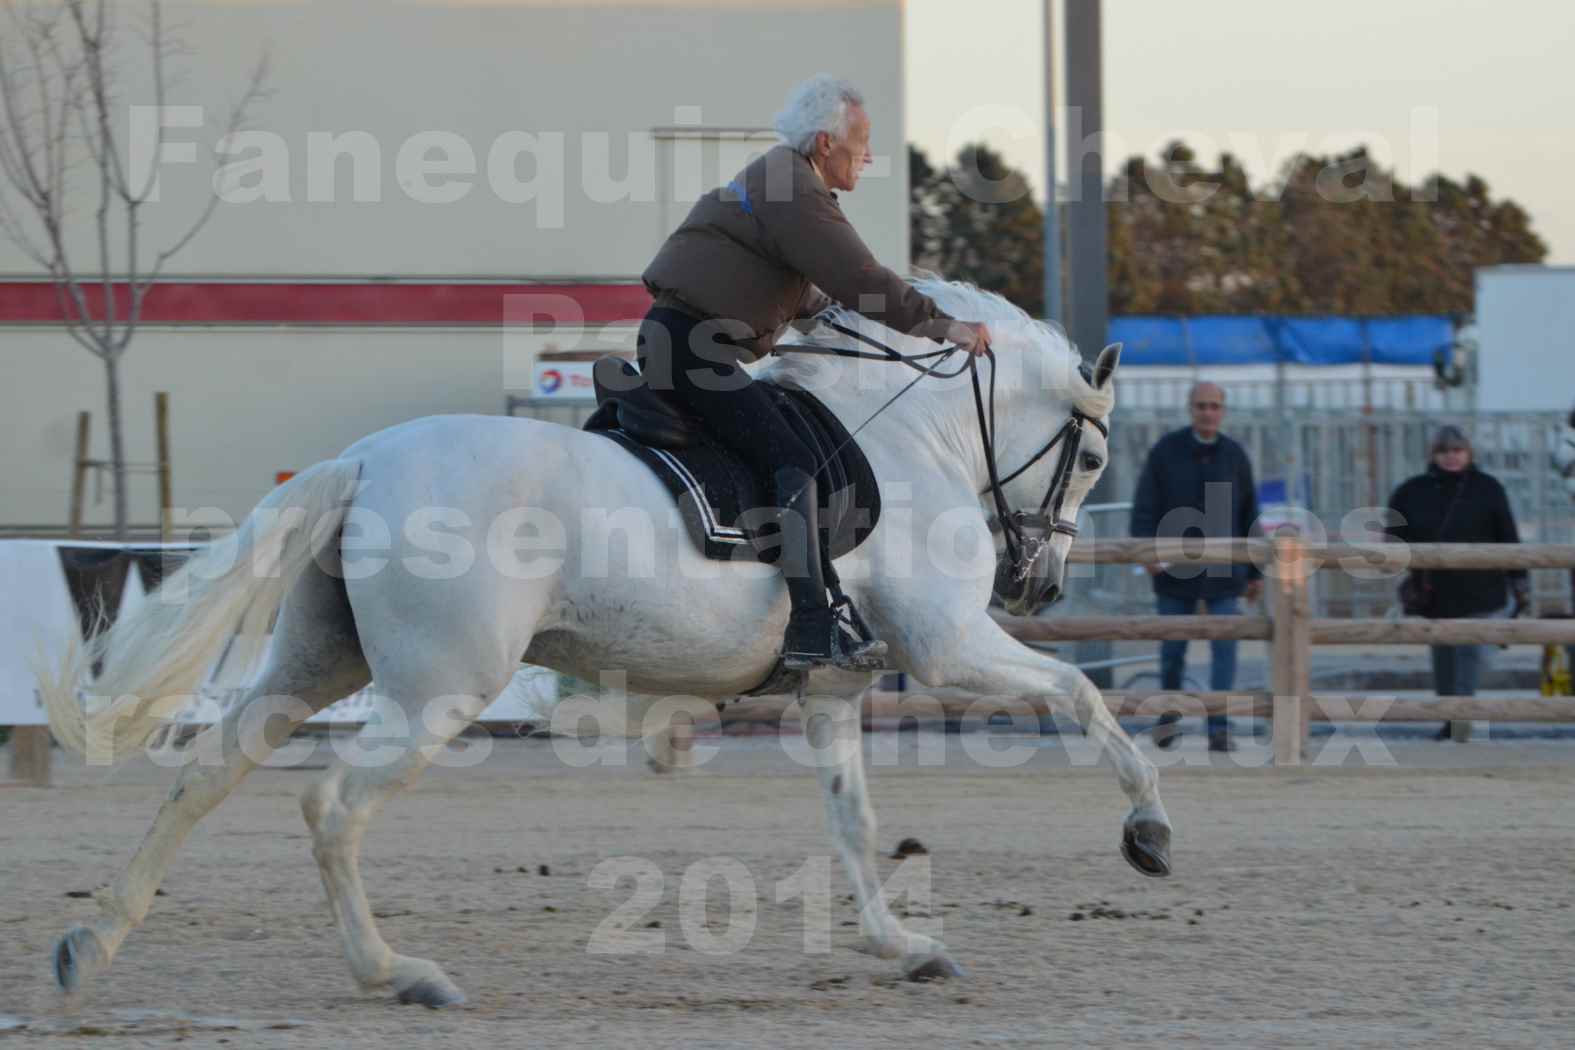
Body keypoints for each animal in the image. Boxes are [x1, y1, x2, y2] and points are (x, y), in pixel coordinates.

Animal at [39, 275, 1171, 1007]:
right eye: (1093, 457)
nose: (1039, 582)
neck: (905, 435)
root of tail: (363, 459)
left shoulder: (834, 690)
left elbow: (854, 822)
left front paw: (903, 947)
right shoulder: (950, 647)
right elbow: (1084, 695)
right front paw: (1147, 833)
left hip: (320, 665)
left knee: (204, 777)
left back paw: (90, 944)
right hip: (439, 691)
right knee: (331, 807)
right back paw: (399, 974)